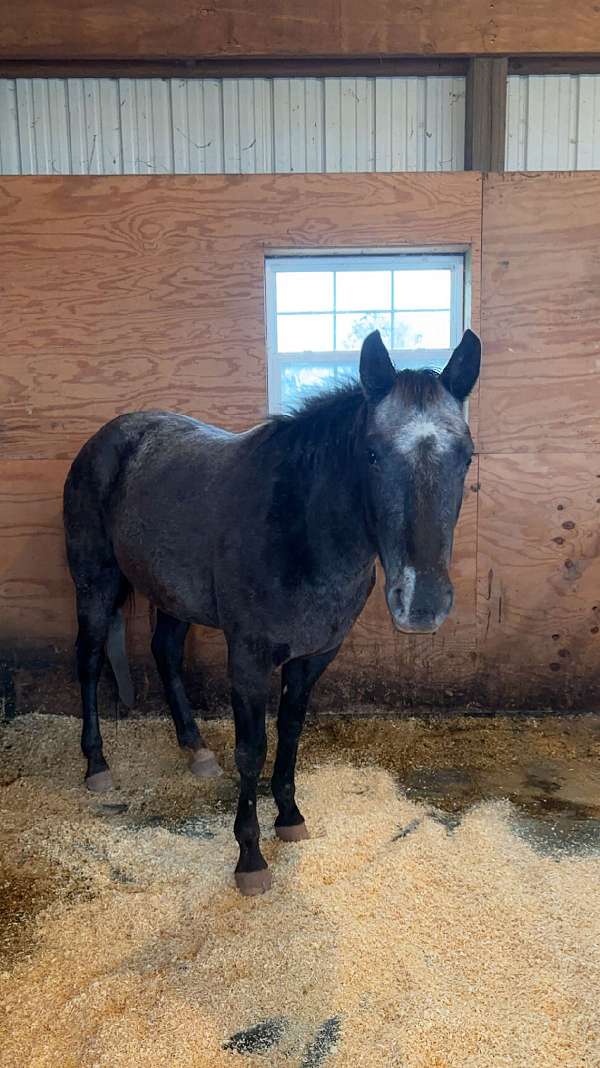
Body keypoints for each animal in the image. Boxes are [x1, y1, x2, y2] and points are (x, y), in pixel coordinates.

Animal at [62, 328, 478, 897]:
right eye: (371, 454)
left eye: (466, 456)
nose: (422, 603)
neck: (299, 530)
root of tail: (107, 438)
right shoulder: (249, 659)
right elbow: (252, 750)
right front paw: (250, 859)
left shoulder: (314, 657)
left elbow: (292, 732)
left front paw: (290, 817)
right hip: (96, 583)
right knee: (87, 661)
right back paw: (97, 765)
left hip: (172, 595)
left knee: (165, 653)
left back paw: (195, 749)